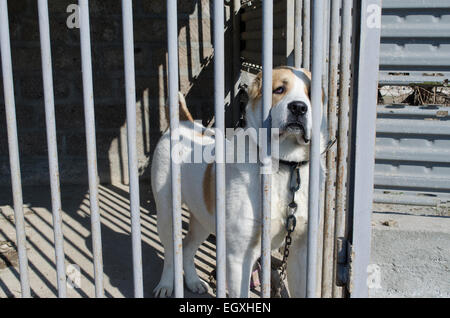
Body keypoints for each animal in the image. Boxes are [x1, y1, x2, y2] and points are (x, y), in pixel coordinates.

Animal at [152, 66, 326, 296]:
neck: (286, 166)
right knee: (171, 250)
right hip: (166, 213)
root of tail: (184, 122)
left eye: (311, 93)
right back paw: (165, 285)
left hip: (203, 220)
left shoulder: (301, 252)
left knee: (187, 247)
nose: (299, 107)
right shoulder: (240, 258)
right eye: (279, 89)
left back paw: (193, 281)